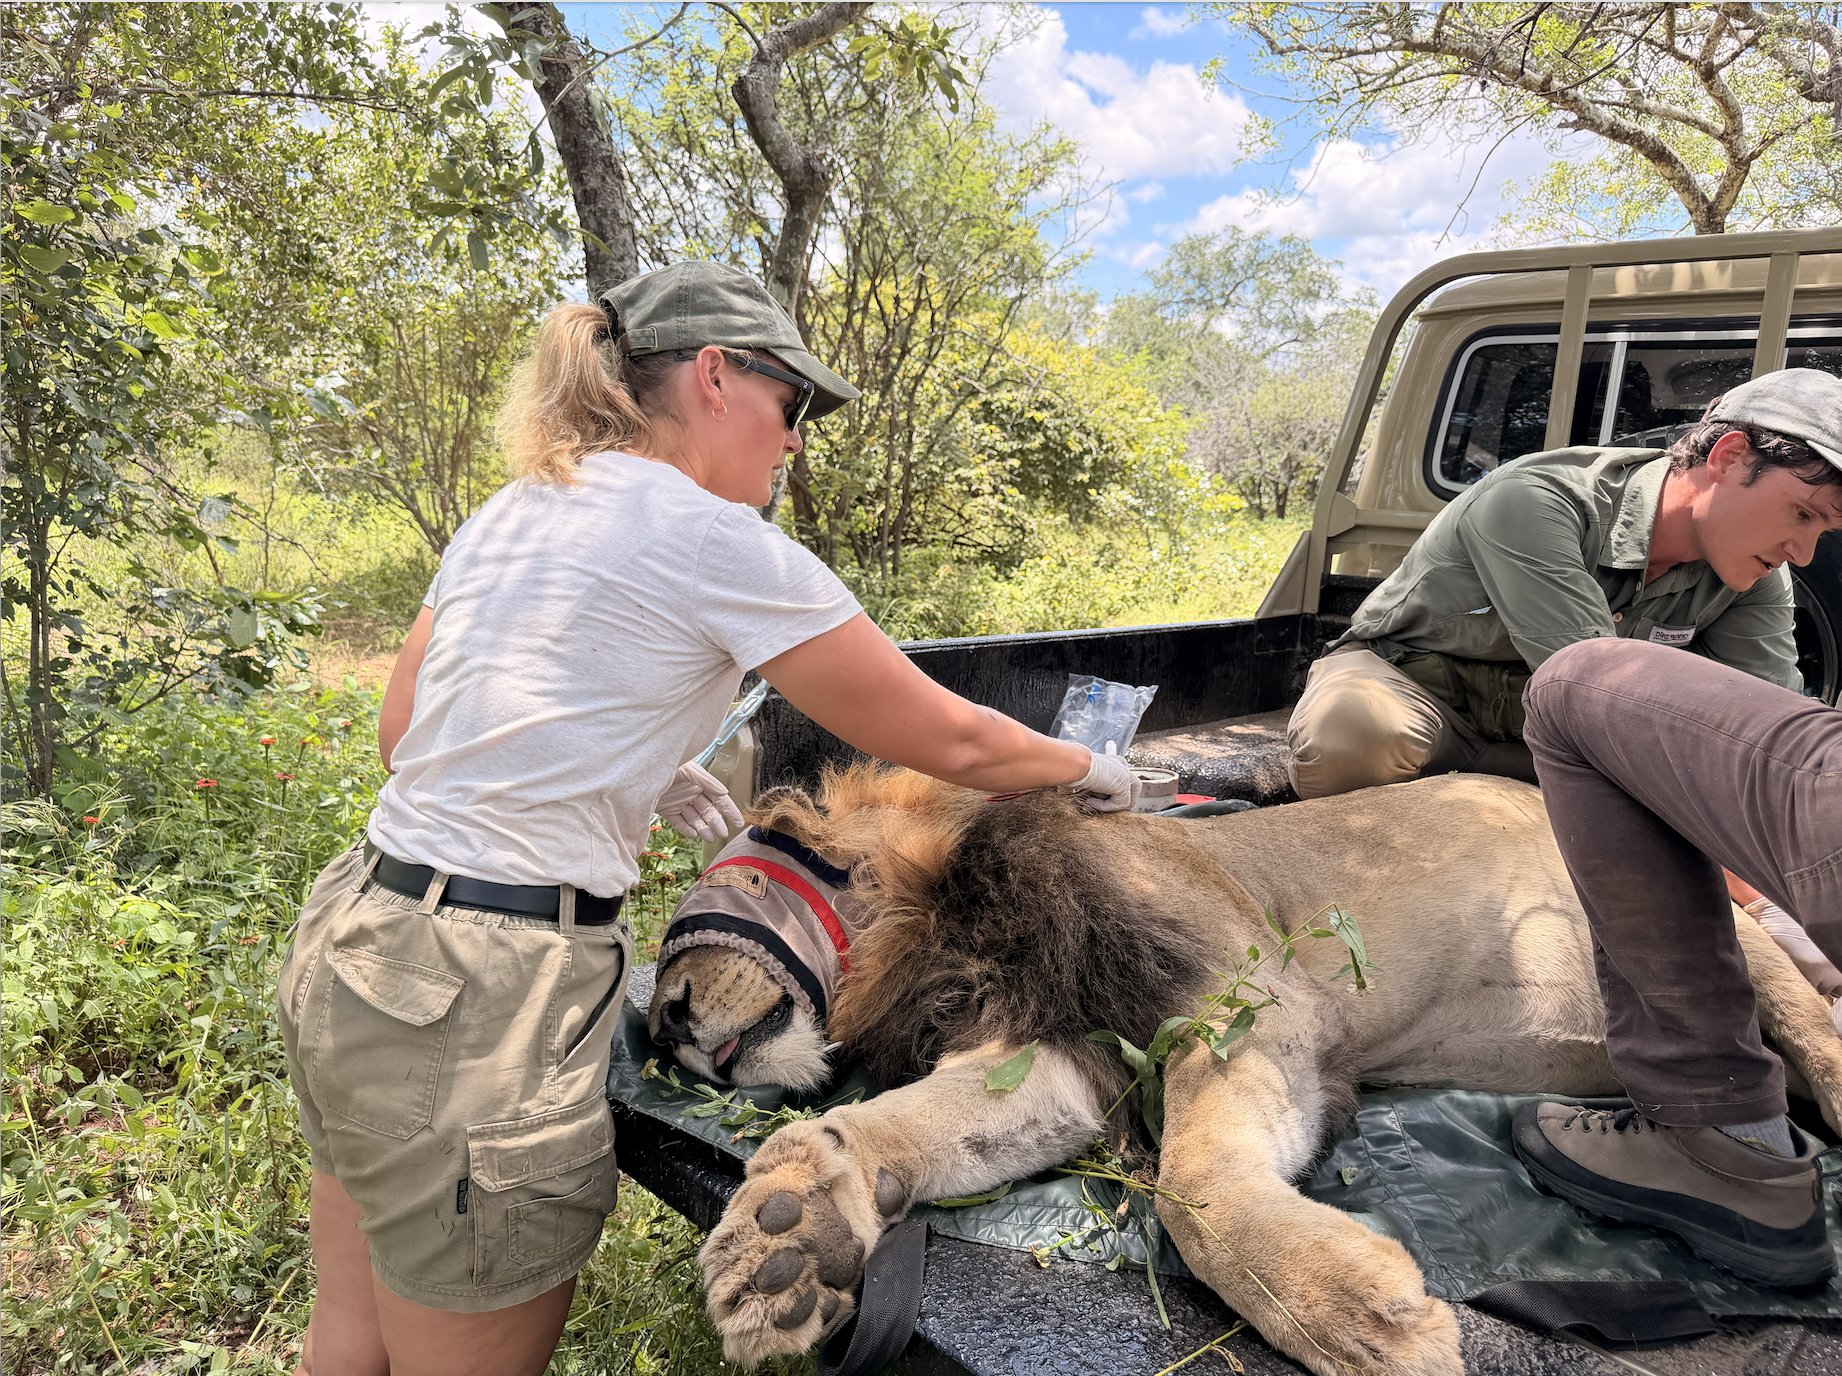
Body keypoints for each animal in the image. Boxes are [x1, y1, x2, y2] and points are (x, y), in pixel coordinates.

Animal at [645, 767, 1842, 1376]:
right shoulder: (1073, 1045)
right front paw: (789, 1234)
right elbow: (919, 1124)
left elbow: (1198, 1184)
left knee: (1805, 1034)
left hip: (1716, 929)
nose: (664, 1025)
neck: (935, 932)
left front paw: (1359, 1316)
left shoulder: (1243, 1001)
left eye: (742, 864)